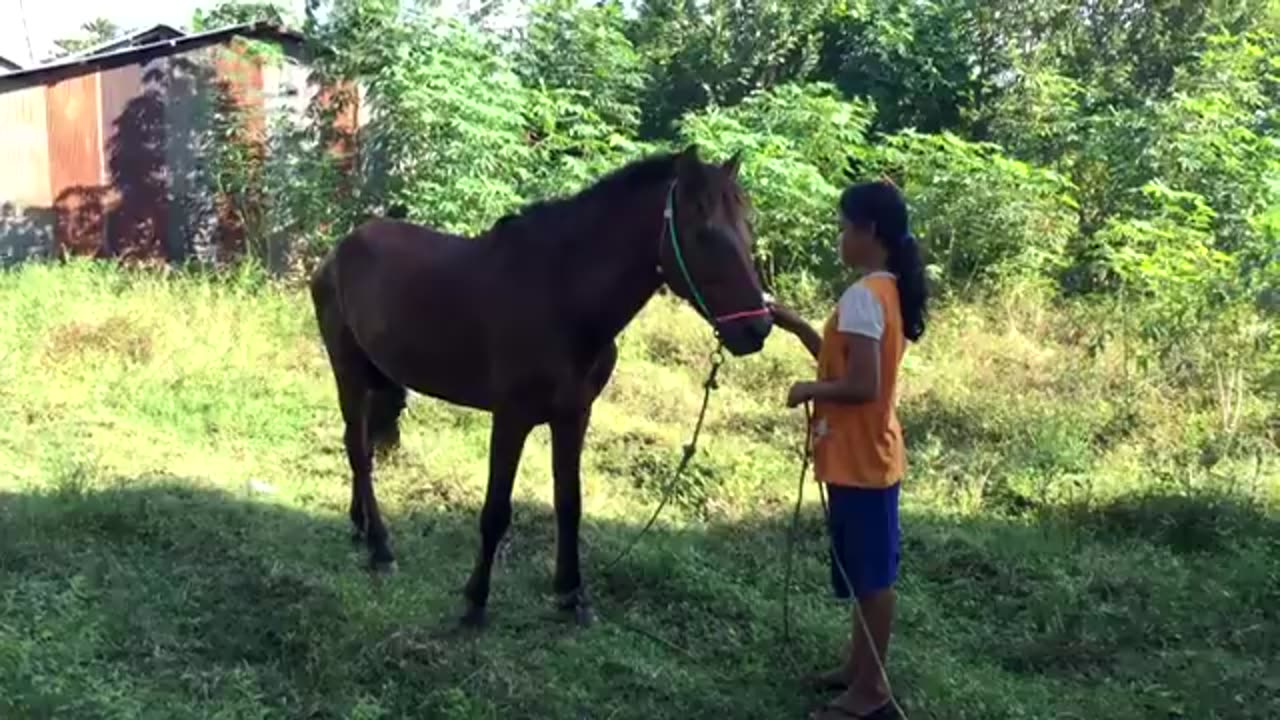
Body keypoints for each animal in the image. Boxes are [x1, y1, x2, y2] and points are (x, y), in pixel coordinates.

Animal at [309, 142, 768, 625]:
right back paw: (380, 547)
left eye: (747, 228)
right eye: (705, 235)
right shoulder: (511, 418)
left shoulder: (574, 415)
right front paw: (475, 601)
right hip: (347, 369)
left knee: (361, 443)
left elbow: (569, 503)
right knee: (358, 450)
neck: (562, 297)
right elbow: (496, 511)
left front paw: (571, 594)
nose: (757, 329)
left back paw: (361, 526)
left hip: (378, 377)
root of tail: (338, 251)